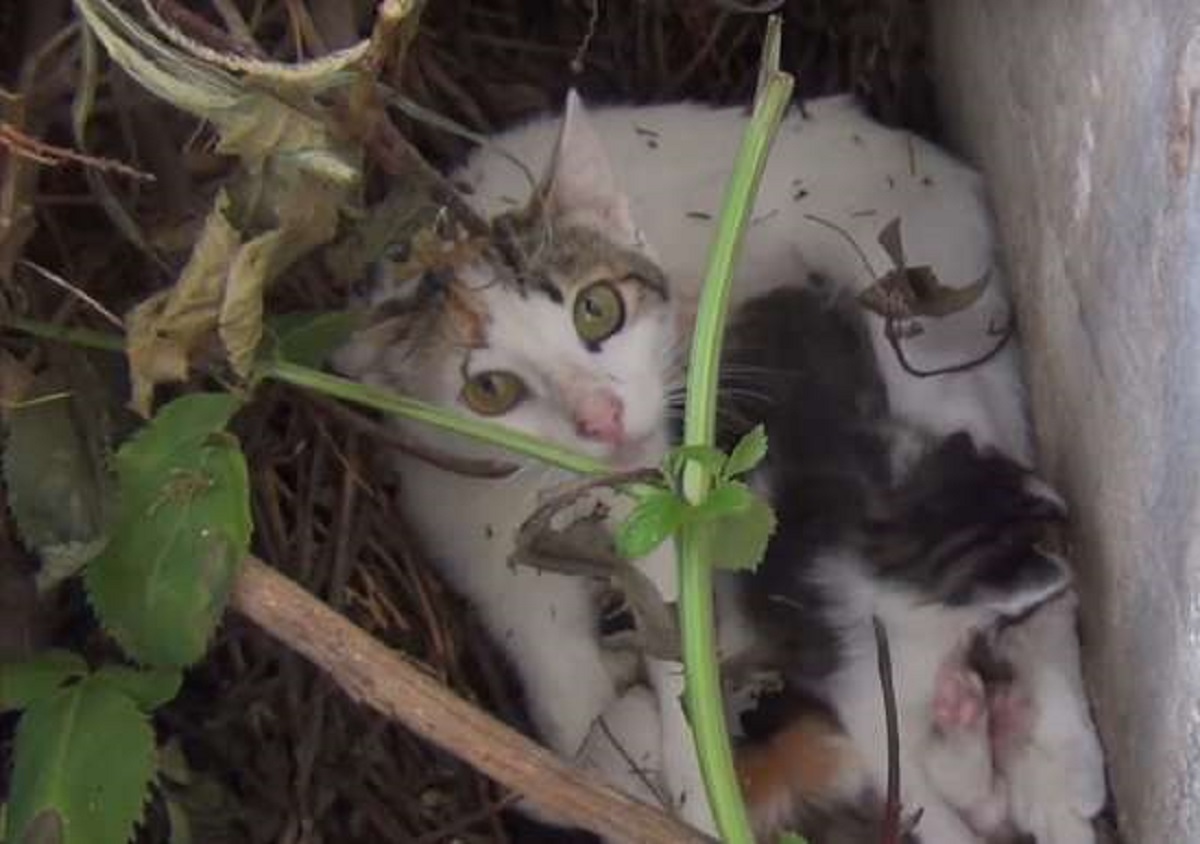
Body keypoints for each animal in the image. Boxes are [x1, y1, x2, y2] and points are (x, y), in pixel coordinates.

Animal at [333, 90, 1099, 840]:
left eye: (596, 311)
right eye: (490, 391)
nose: (602, 418)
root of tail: (940, 167)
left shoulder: (670, 518)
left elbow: (684, 675)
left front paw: (694, 793)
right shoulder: (476, 535)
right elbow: (565, 695)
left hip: (919, 355)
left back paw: (1055, 770)